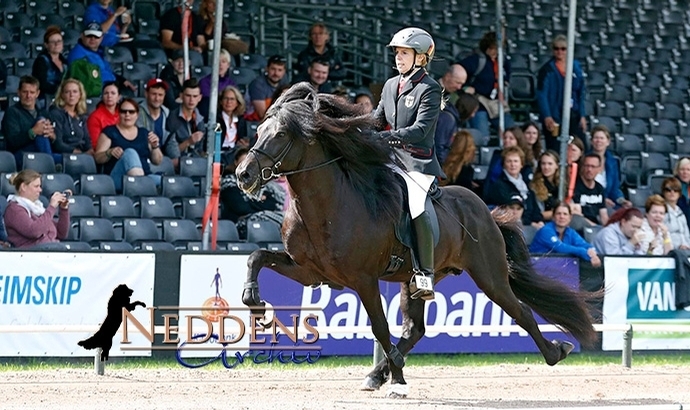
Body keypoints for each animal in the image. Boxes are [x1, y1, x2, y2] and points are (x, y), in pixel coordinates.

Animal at [234, 83, 600, 398]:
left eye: (281, 134)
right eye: (258, 130)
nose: (243, 175)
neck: (326, 205)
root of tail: (484, 210)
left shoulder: (363, 279)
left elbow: (380, 328)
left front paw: (397, 377)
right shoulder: (310, 272)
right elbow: (256, 257)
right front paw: (255, 303)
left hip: (489, 275)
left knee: (520, 310)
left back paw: (556, 351)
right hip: (417, 281)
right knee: (416, 330)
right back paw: (379, 373)